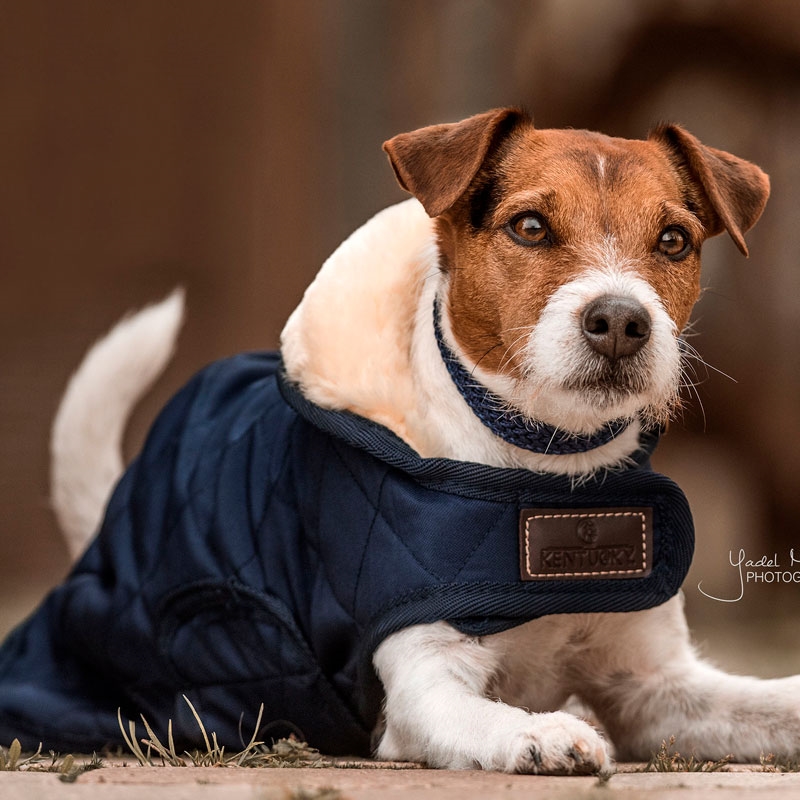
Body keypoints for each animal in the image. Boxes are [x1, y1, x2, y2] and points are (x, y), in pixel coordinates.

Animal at [0, 108, 792, 776]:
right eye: (530, 227)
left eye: (673, 240)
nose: (622, 321)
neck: (546, 470)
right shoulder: (425, 685)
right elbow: (483, 714)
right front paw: (538, 732)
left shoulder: (653, 689)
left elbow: (768, 703)